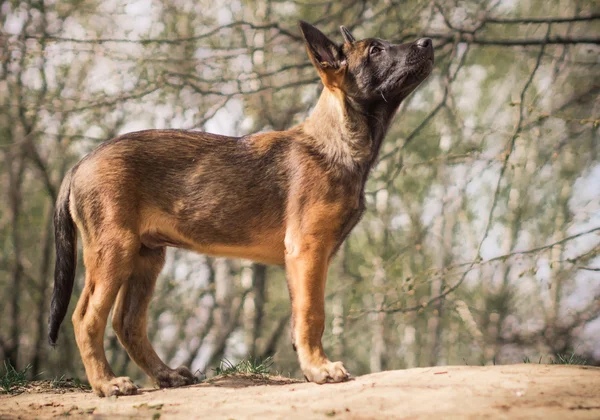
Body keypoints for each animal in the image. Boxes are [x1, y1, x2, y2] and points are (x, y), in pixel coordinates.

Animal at [47, 20, 432, 398]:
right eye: (375, 50)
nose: (428, 42)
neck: (333, 141)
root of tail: (80, 163)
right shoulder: (307, 249)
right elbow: (313, 314)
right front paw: (320, 369)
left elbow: (301, 316)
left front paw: (310, 367)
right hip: (115, 250)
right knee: (86, 318)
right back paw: (106, 383)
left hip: (146, 258)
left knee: (127, 323)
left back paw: (165, 375)